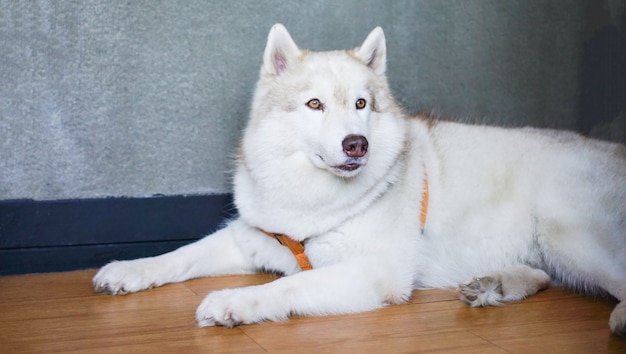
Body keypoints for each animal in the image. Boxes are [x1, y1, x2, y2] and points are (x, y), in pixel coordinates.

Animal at [94, 24, 624, 334]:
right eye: (314, 104)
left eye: (361, 104)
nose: (356, 145)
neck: (311, 198)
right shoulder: (251, 238)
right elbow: (179, 256)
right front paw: (130, 269)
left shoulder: (372, 273)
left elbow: (290, 287)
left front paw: (235, 301)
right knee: (540, 276)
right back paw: (492, 284)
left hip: (567, 236)